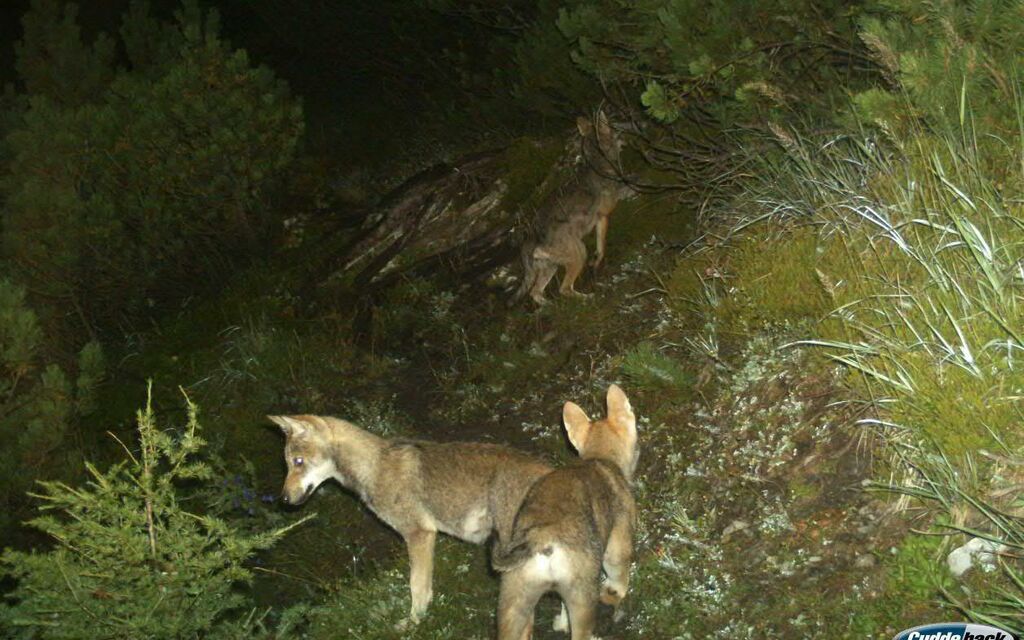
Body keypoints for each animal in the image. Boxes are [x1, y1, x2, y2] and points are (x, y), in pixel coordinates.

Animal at [267, 414, 552, 627]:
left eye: (298, 462)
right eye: (287, 464)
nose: (283, 500)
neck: (374, 467)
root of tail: (550, 471)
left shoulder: (419, 534)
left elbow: (417, 587)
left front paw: (414, 623)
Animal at [492, 384, 638, 640]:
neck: (599, 457)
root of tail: (541, 538)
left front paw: (560, 624)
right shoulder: (617, 545)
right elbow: (619, 576)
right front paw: (616, 593)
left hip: (514, 603)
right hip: (582, 598)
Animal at [511, 109, 627, 306]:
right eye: (613, 127)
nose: (624, 139)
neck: (598, 163)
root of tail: (531, 240)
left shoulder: (600, 219)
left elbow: (600, 247)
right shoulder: (604, 215)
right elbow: (602, 247)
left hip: (551, 268)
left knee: (536, 293)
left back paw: (549, 306)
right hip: (579, 254)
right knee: (563, 290)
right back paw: (587, 298)